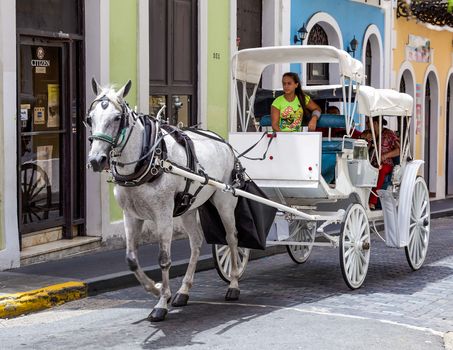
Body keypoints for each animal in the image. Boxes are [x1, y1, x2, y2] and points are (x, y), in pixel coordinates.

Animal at [85, 79, 240, 322]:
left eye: (117, 118)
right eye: (89, 118)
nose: (96, 160)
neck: (148, 159)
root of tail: (224, 142)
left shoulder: (164, 214)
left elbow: (164, 259)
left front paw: (161, 303)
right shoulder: (131, 216)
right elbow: (131, 259)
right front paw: (156, 289)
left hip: (224, 201)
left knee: (231, 238)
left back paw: (233, 284)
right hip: (188, 208)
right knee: (196, 243)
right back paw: (184, 291)